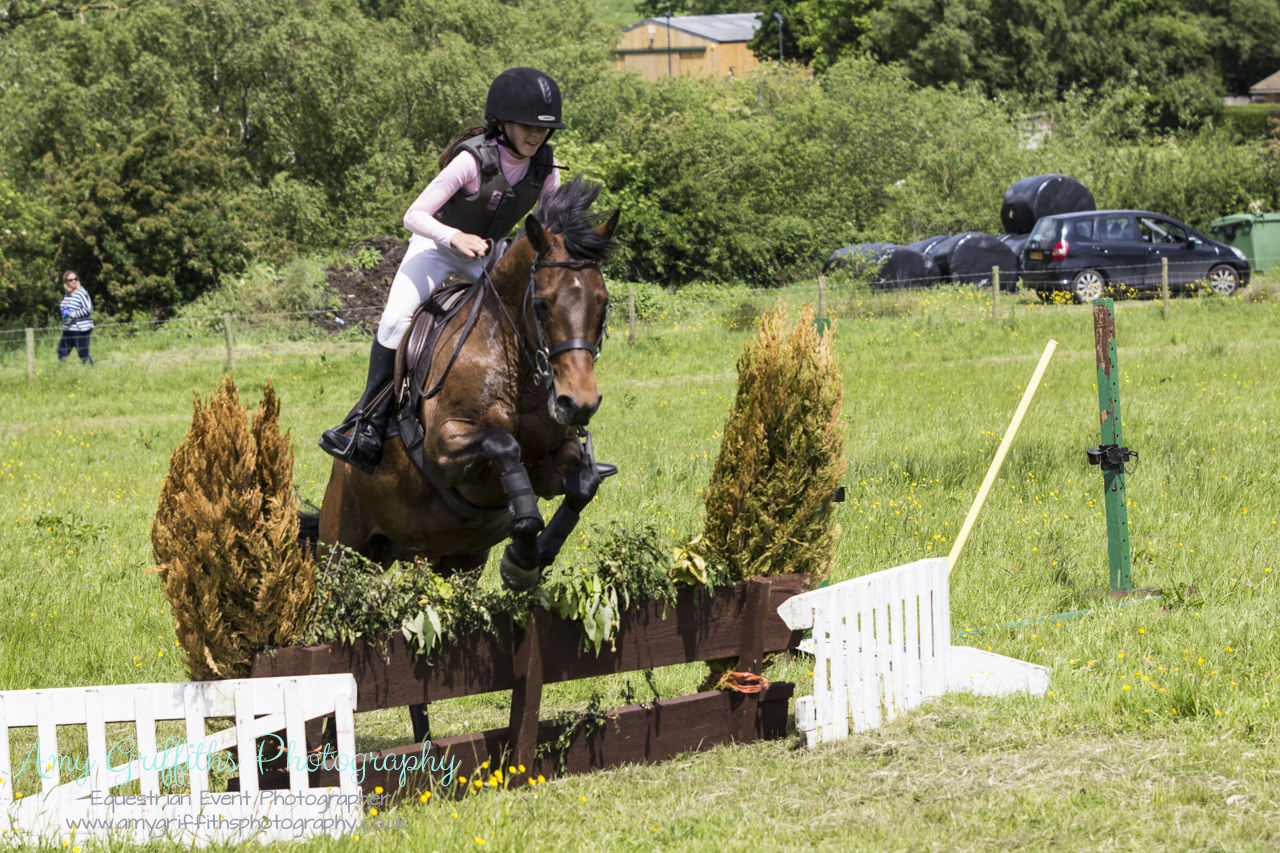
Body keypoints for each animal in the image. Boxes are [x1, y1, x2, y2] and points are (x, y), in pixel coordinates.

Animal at [318, 179, 619, 732]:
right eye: (543, 304)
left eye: (602, 304)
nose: (578, 403)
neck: (515, 361)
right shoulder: (445, 450)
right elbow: (503, 446)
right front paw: (524, 545)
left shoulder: (552, 460)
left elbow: (580, 483)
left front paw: (527, 559)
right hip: (344, 554)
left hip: (451, 562)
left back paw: (424, 735)